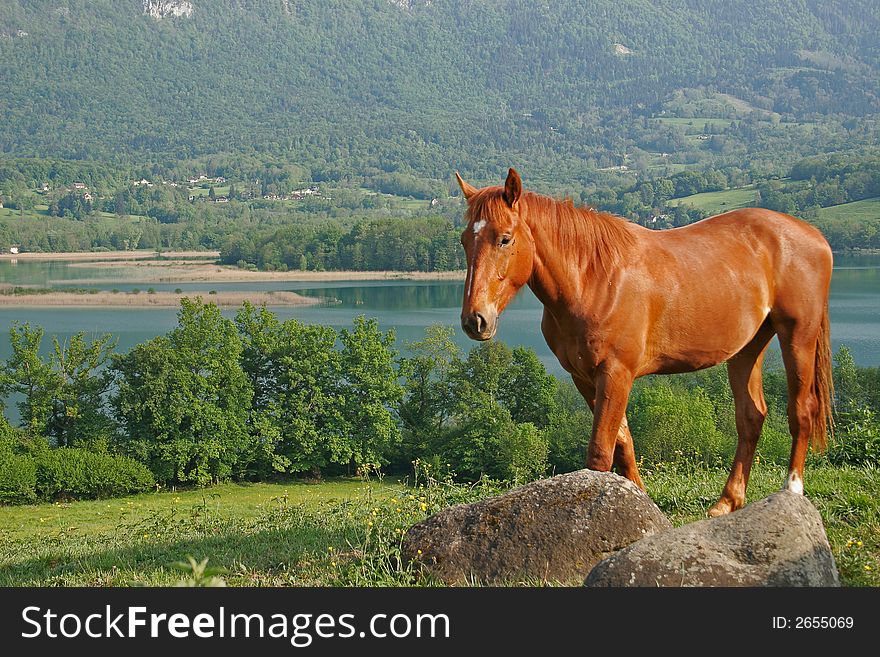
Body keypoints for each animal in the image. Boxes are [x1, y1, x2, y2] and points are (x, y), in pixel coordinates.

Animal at [458, 167, 836, 516]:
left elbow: (600, 454)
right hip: (747, 348)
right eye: (464, 240)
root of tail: (815, 235)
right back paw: (727, 502)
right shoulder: (586, 378)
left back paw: (791, 490)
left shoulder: (616, 373)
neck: (594, 278)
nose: (475, 320)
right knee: (751, 418)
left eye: (505, 239)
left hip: (797, 336)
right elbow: (623, 445)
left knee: (801, 410)